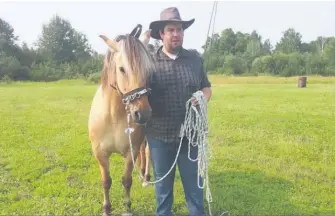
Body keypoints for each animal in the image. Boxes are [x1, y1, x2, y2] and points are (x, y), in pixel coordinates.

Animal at [89, 25, 158, 216]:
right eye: (121, 69)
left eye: (149, 71)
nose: (142, 114)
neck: (113, 116)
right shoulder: (100, 153)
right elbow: (106, 181)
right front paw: (106, 209)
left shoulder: (130, 151)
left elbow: (126, 180)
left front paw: (127, 208)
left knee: (147, 152)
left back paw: (146, 177)